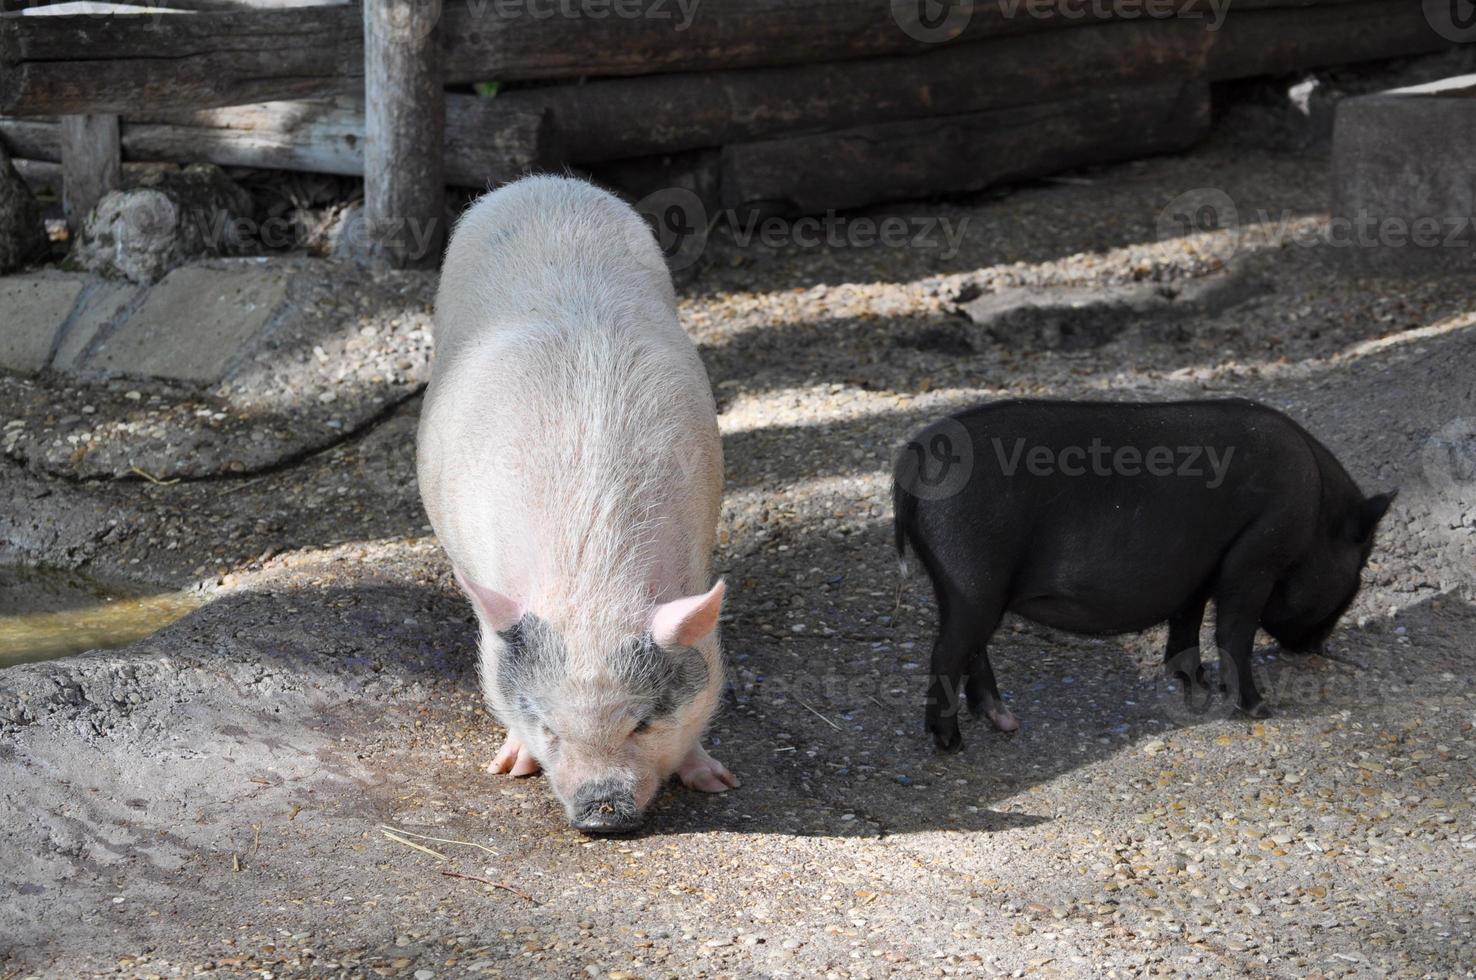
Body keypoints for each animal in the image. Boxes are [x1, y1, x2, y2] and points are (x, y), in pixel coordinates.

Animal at [416, 176, 738, 832]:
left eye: (643, 720)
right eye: (548, 726)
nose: (602, 815)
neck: (593, 577)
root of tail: (543, 183)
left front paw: (719, 783)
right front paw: (507, 769)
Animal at [885, 398, 1393, 749]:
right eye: (1361, 564)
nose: (1316, 647)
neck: (1317, 509)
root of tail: (913, 463)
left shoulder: (1199, 572)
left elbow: (1187, 623)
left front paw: (1195, 685)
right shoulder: (1254, 560)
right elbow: (1234, 633)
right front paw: (1259, 709)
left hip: (965, 587)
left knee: (972, 648)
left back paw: (1004, 721)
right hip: (970, 578)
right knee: (947, 652)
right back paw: (951, 744)